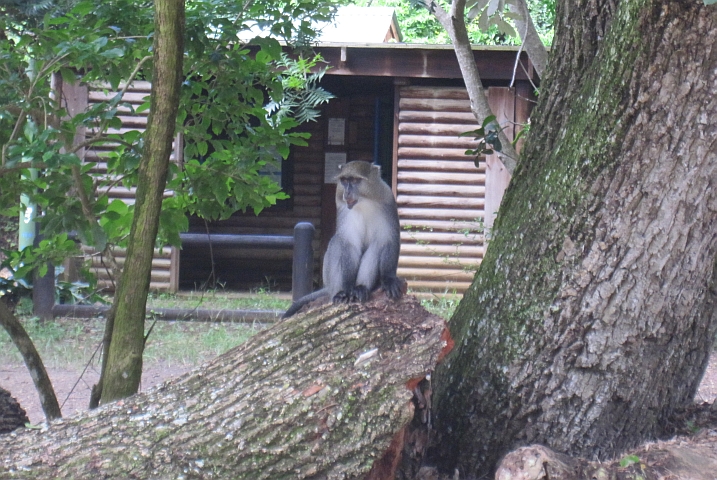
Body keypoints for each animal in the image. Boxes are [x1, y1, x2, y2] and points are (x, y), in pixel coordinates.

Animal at [282, 161, 402, 318]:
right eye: (344, 180)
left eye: (355, 180)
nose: (347, 192)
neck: (364, 202)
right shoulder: (343, 208)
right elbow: (348, 243)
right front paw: (346, 288)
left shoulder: (387, 200)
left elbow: (388, 239)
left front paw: (389, 279)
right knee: (336, 242)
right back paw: (341, 293)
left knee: (376, 246)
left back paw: (361, 288)